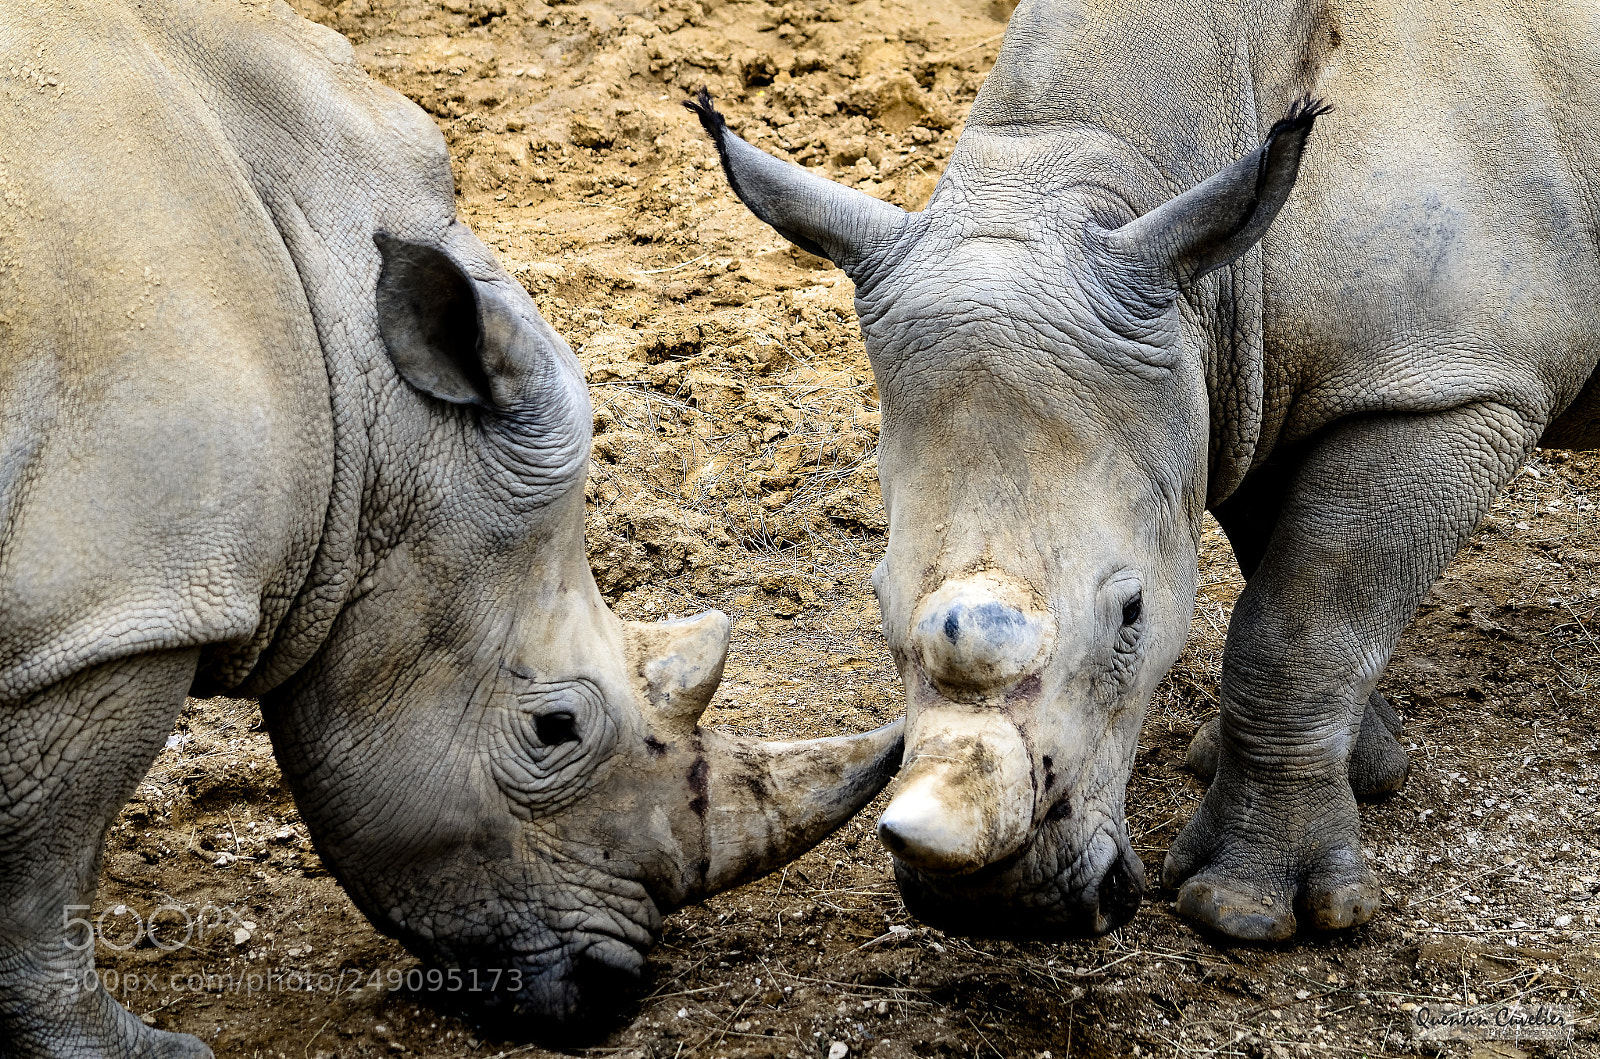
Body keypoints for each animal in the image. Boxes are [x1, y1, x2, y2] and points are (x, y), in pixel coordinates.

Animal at [695, 0, 1600, 942]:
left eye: (1132, 614)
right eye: (875, 598)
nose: (996, 910)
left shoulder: (1451, 383)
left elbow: (1297, 628)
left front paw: (1243, 911)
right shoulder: (1237, 372)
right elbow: (1278, 573)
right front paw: (1360, 767)